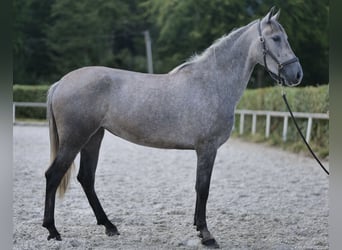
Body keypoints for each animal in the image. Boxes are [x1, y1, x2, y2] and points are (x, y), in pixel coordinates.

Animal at [42, 7, 302, 248]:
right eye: (275, 38)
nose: (296, 74)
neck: (211, 83)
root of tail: (61, 83)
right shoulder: (207, 148)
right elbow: (203, 188)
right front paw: (206, 235)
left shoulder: (204, 150)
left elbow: (199, 188)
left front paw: (198, 228)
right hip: (75, 139)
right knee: (53, 175)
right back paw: (53, 230)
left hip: (93, 138)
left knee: (86, 178)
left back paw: (109, 226)